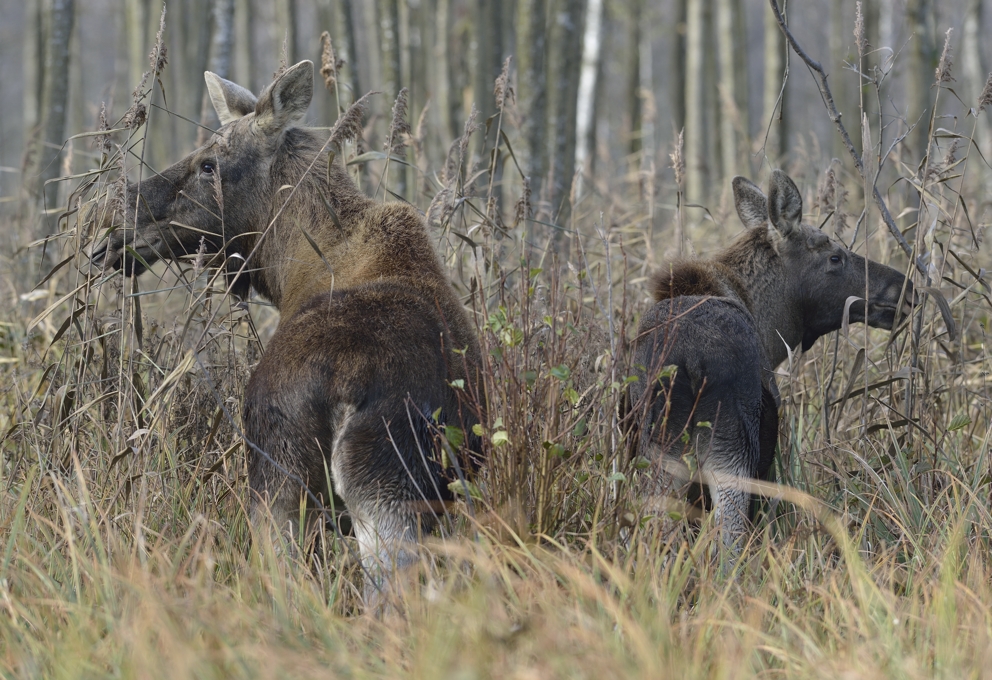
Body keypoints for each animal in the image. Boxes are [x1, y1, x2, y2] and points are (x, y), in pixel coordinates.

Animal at [628, 170, 916, 552]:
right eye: (835, 257)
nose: (908, 290)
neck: (770, 328)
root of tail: (683, 362)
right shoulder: (767, 445)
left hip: (661, 453)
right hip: (729, 447)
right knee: (730, 539)